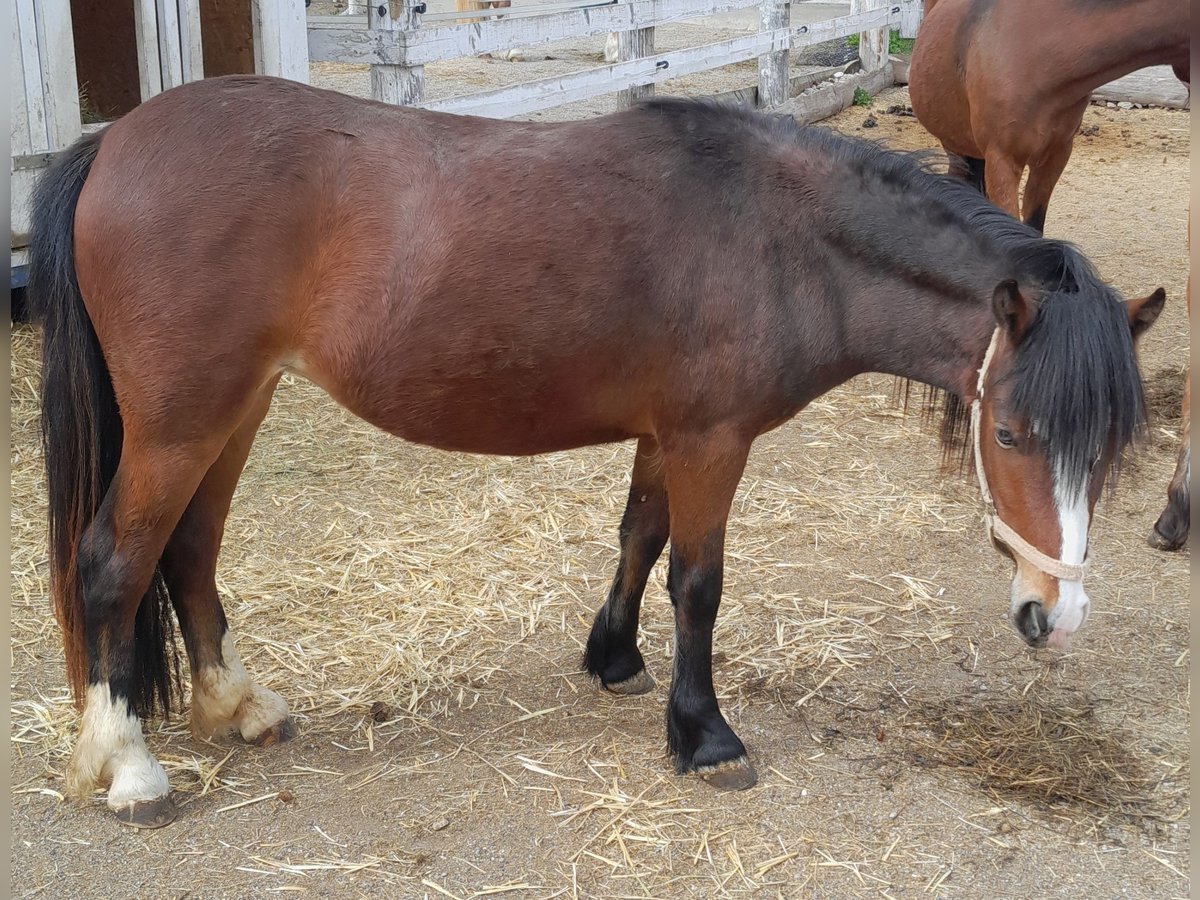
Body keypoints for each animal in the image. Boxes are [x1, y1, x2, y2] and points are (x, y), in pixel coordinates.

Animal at [28, 74, 1166, 830]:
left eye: (1112, 449)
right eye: (1011, 433)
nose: (1055, 615)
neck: (779, 236)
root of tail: (116, 142)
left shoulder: (667, 436)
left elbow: (638, 540)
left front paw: (613, 659)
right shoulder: (712, 442)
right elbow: (698, 582)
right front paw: (704, 735)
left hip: (235, 412)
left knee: (188, 554)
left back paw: (235, 707)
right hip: (182, 423)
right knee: (113, 564)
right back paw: (126, 765)